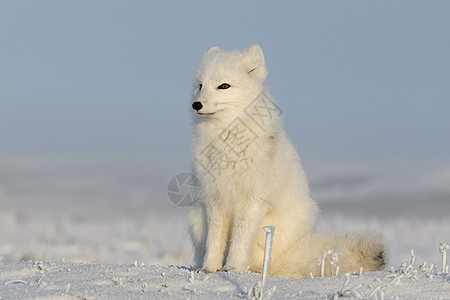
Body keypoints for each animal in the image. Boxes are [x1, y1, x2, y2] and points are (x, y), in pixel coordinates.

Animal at [188, 44, 384, 278]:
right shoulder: (214, 200)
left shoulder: (253, 201)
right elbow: (214, 241)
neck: (228, 139)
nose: (196, 104)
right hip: (196, 218)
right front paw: (209, 269)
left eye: (223, 86)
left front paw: (233, 268)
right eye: (200, 85)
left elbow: (240, 240)